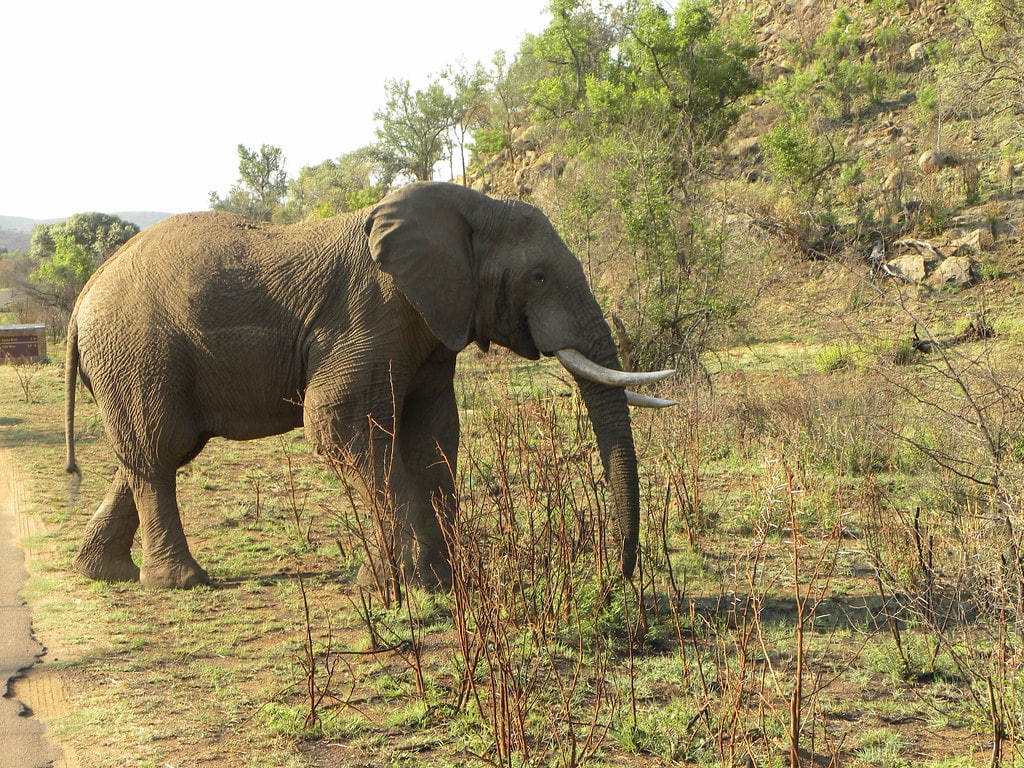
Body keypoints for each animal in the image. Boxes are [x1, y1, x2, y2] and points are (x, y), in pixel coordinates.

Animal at [64, 181, 674, 590]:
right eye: (539, 277)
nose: (619, 578)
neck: (468, 206)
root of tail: (83, 297)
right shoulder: (371, 314)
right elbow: (337, 422)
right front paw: (406, 584)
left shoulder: (429, 326)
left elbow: (433, 436)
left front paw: (437, 579)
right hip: (139, 352)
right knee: (158, 452)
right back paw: (180, 583)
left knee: (151, 455)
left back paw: (104, 573)